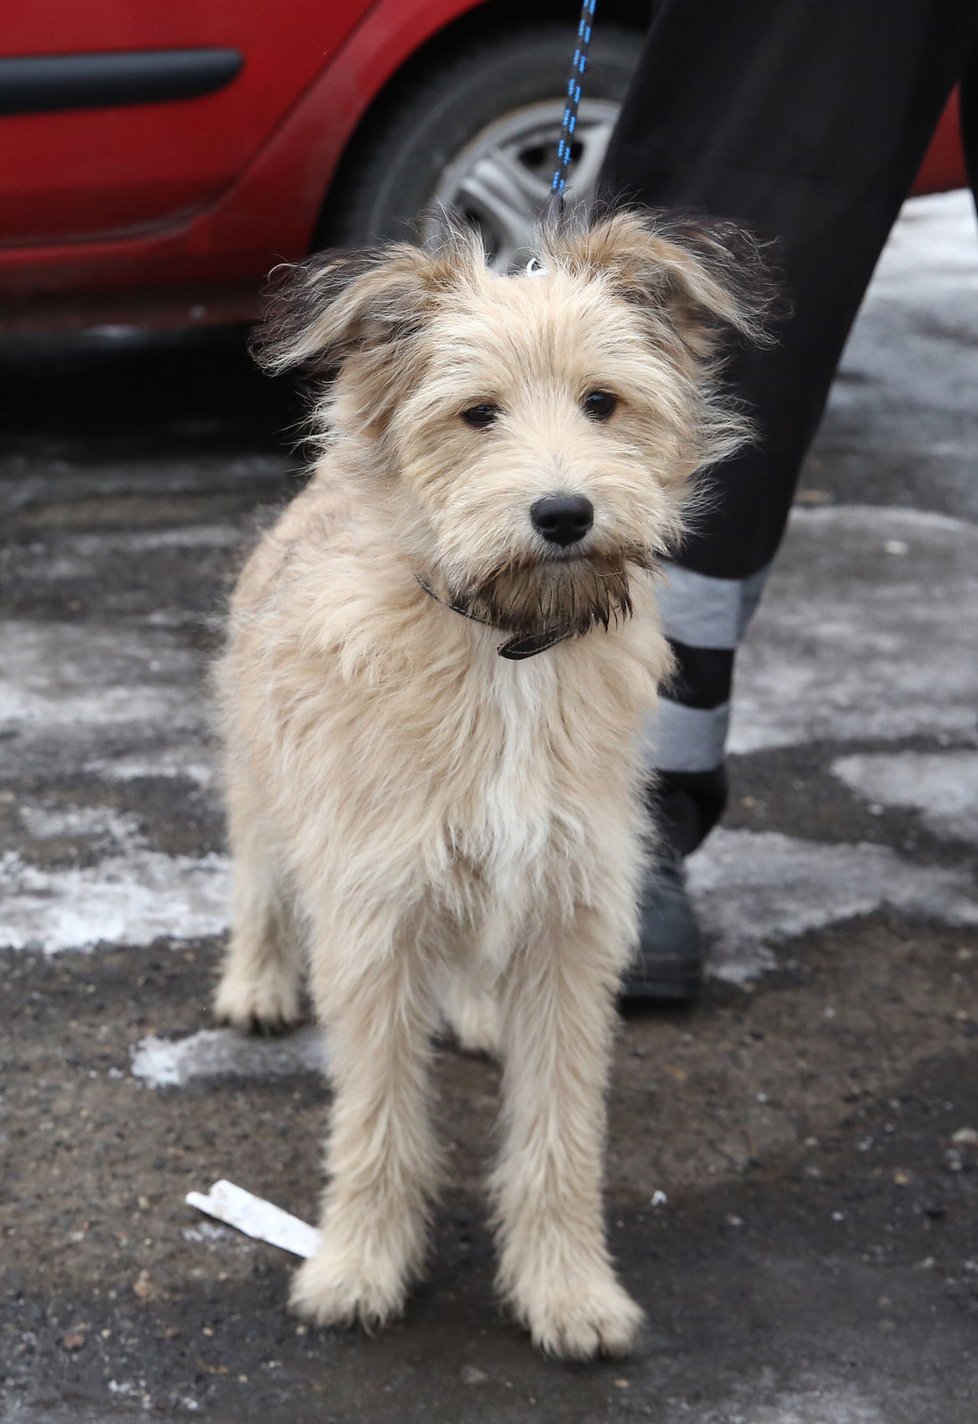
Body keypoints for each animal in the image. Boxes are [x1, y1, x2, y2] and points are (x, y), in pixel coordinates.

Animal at [212, 210, 763, 1355]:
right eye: (477, 414)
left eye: (602, 402)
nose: (563, 512)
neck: (509, 644)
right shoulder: (373, 911)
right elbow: (377, 1121)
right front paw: (358, 1267)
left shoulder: (571, 917)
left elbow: (560, 1134)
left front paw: (569, 1290)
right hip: (263, 773)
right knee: (258, 874)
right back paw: (256, 982)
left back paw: (472, 1008)